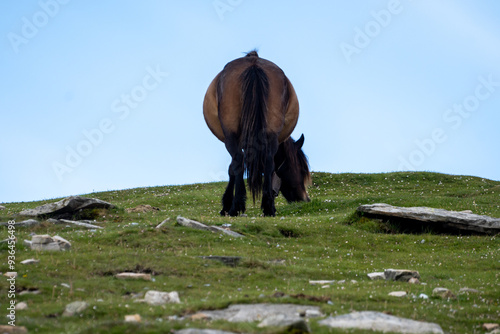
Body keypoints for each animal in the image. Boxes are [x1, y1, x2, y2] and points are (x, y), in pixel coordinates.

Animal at [202, 49, 308, 217]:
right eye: (303, 170)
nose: (305, 198)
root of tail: (254, 65)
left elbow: (232, 168)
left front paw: (226, 204)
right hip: (271, 134)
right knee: (269, 161)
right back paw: (268, 207)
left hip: (231, 136)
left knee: (238, 161)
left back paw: (236, 206)